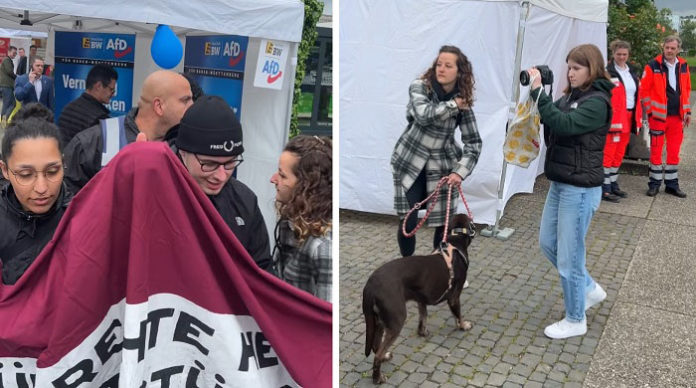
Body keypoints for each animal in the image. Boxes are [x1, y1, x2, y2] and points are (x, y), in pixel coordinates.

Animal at [362, 215, 476, 384]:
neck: (455, 241)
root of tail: (371, 286)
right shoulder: (454, 297)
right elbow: (458, 315)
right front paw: (464, 326)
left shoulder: (421, 298)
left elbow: (423, 317)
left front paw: (422, 332)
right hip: (396, 321)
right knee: (378, 354)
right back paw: (378, 378)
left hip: (378, 321)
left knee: (376, 347)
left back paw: (385, 357)